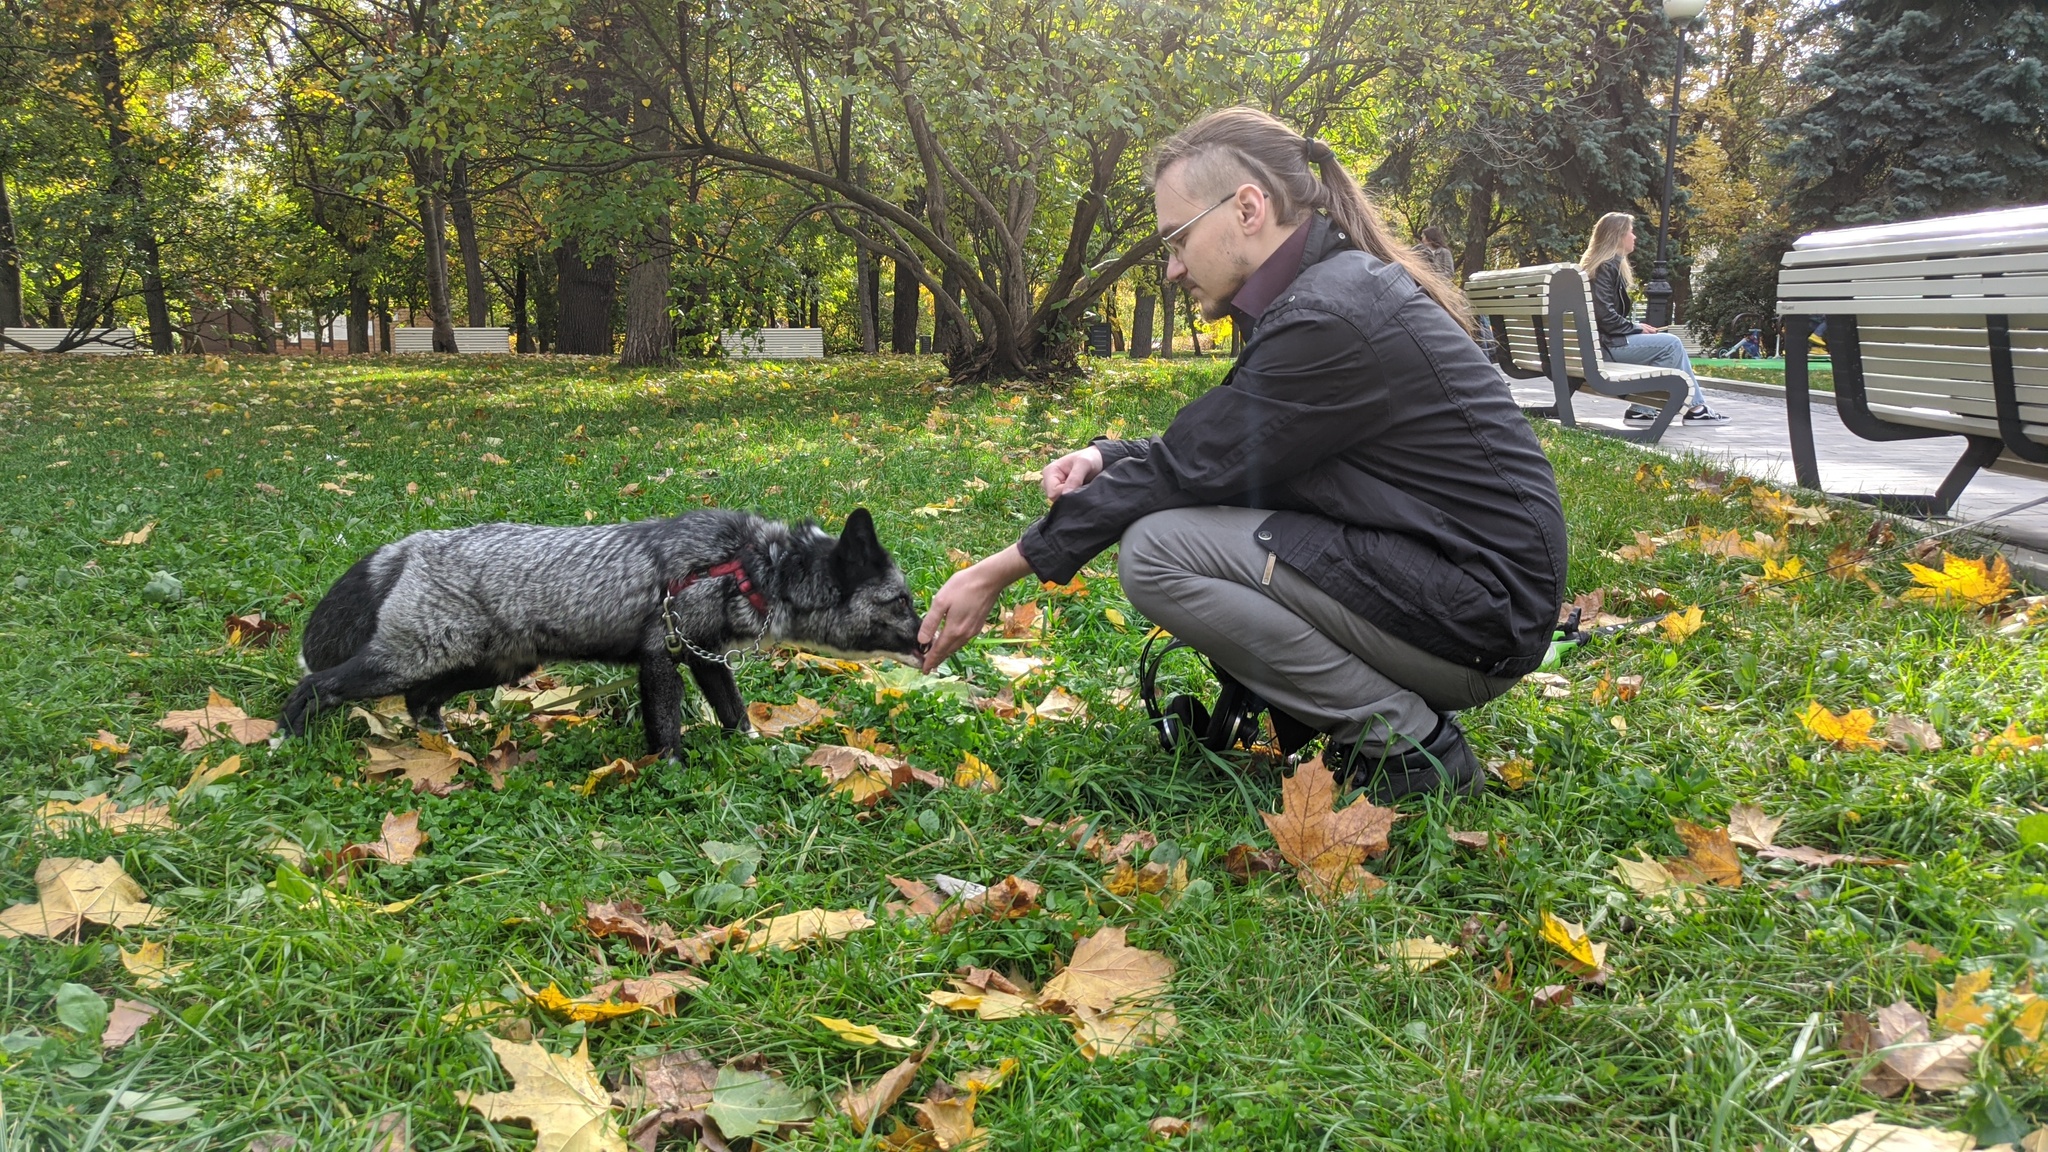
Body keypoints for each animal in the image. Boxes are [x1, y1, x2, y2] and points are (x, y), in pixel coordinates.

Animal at [280, 504, 921, 754]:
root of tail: (414, 544)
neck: (744, 565)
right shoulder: (661, 654)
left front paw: (754, 751)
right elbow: (667, 730)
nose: (925, 641)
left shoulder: (705, 656)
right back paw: (283, 740)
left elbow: (734, 713)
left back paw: (445, 745)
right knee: (315, 686)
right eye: (901, 601)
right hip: (412, 660)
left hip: (493, 665)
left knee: (421, 701)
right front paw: (672, 778)